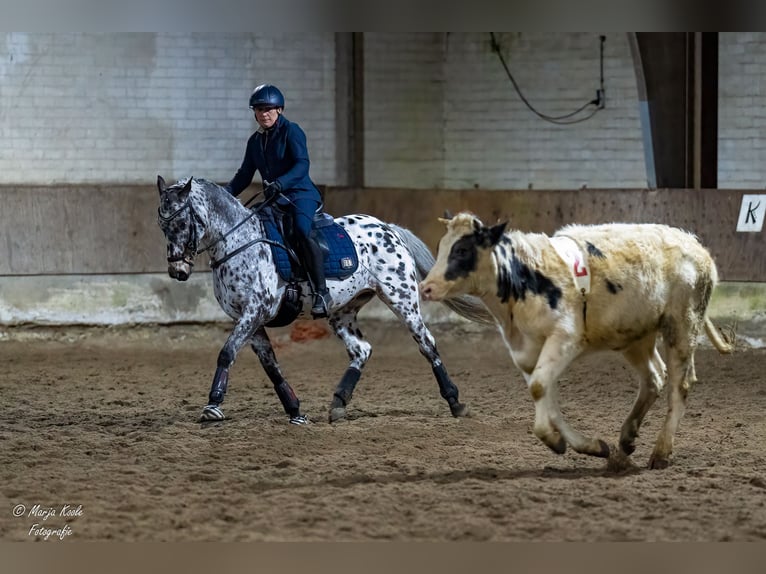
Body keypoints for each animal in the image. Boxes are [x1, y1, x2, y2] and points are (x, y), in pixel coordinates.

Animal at [156, 176, 493, 424]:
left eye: (182, 223)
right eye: (162, 225)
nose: (177, 271)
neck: (240, 242)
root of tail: (389, 229)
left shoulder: (255, 310)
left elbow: (226, 353)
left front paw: (212, 406)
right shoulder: (248, 318)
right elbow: (271, 366)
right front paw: (295, 410)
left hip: (402, 299)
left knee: (427, 344)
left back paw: (455, 402)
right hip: (342, 311)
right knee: (362, 350)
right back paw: (338, 404)